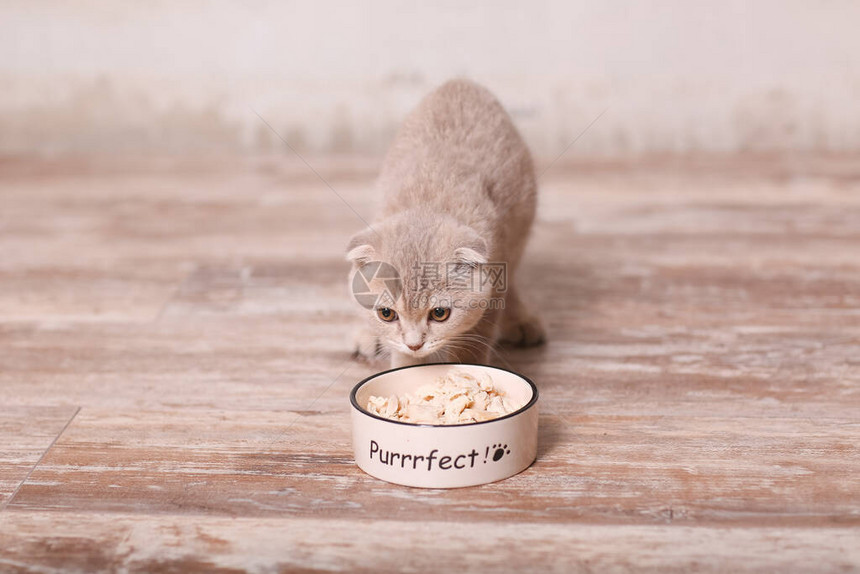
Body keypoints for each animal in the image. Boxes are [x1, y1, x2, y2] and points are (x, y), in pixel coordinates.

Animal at [344, 77, 540, 368]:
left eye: (439, 313)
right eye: (386, 314)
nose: (415, 344)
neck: (427, 201)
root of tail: (460, 81)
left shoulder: (494, 279)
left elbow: (475, 341)